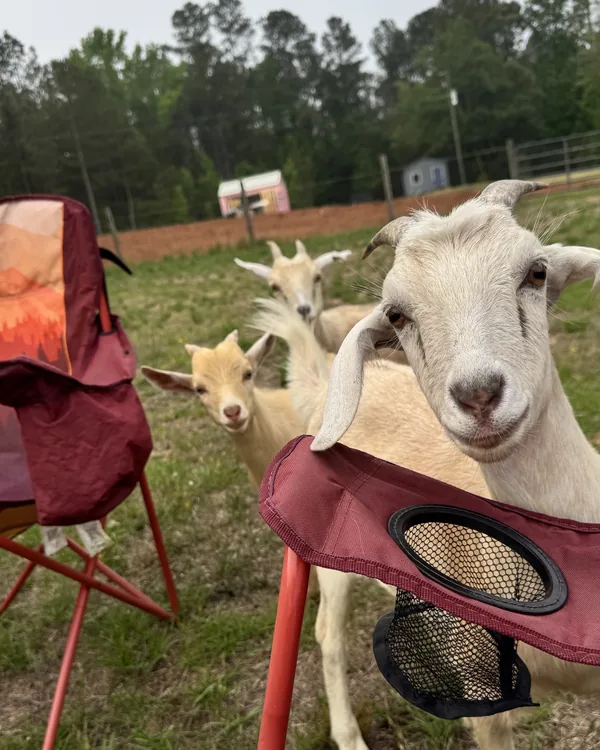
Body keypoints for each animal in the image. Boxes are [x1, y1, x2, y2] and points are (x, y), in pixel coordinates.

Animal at [312, 179, 600, 750]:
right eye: (396, 314)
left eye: (537, 272)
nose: (479, 395)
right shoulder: (483, 695)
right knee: (327, 634)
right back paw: (349, 734)